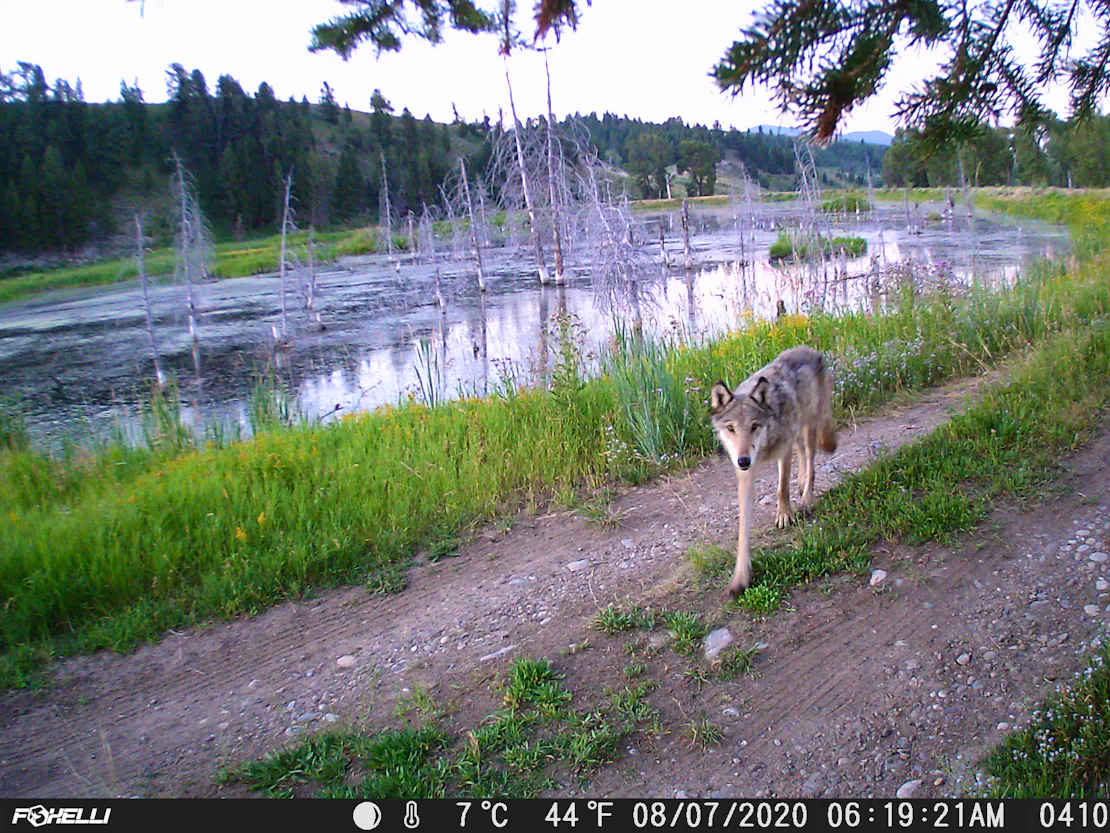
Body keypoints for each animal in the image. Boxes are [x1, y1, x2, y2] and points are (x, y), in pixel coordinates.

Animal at [709, 346, 838, 598]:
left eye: (754, 426)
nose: (743, 460)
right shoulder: (745, 475)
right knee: (803, 455)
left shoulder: (783, 451)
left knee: (810, 460)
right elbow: (743, 530)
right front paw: (741, 577)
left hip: (809, 428)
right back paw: (802, 483)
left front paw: (785, 515)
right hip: (799, 430)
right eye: (730, 428)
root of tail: (811, 349)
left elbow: (782, 488)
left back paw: (806, 499)